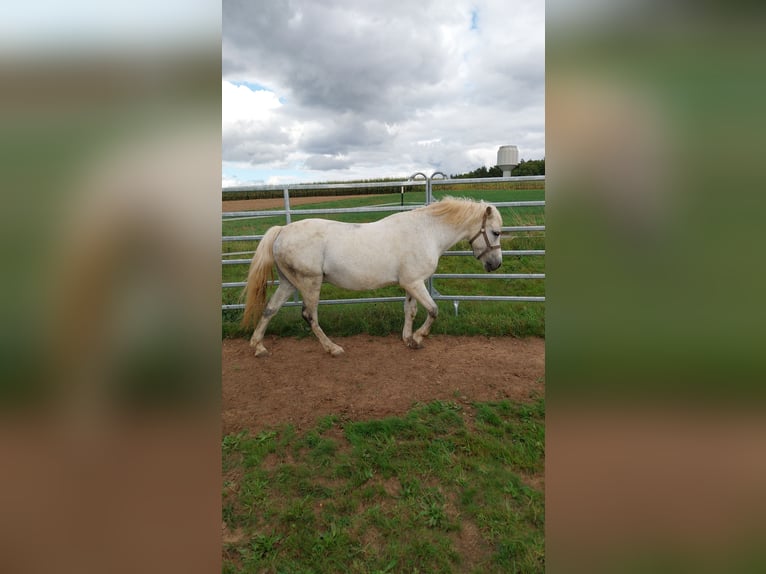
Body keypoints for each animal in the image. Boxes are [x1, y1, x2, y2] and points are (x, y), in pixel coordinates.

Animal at [241, 197, 504, 357]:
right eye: (495, 232)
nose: (496, 264)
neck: (427, 232)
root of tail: (282, 231)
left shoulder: (410, 284)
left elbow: (411, 311)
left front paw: (408, 339)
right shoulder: (415, 283)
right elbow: (433, 310)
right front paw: (419, 338)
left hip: (288, 283)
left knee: (270, 309)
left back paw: (258, 346)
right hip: (310, 282)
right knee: (309, 316)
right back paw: (333, 348)